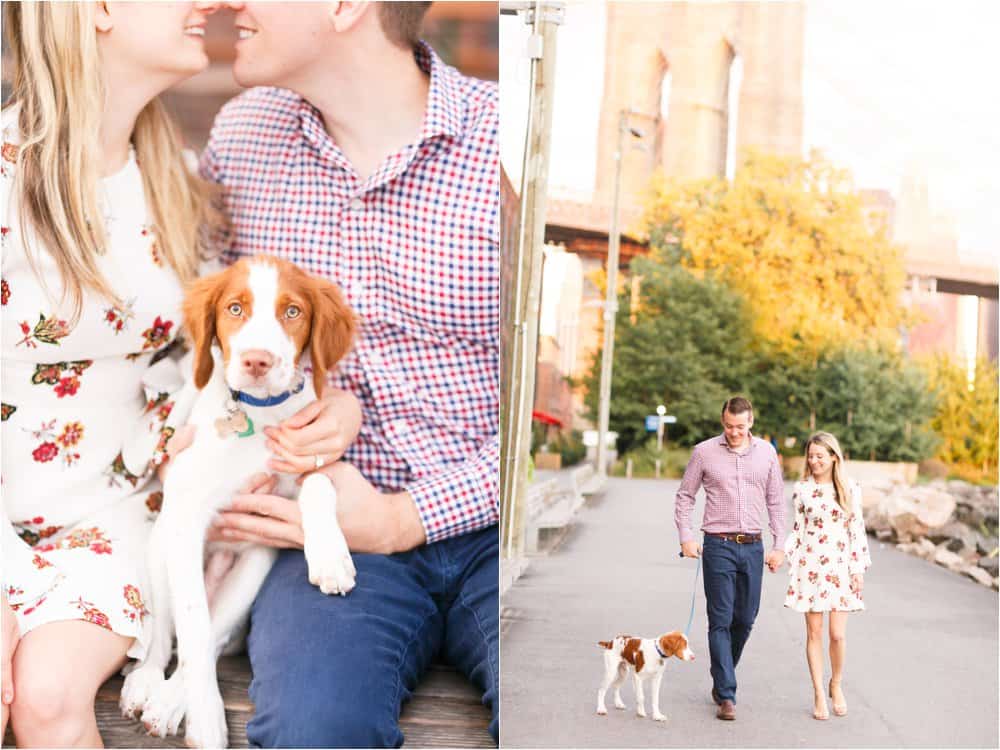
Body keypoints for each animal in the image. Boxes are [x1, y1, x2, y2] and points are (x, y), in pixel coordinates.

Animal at [119, 258, 358, 748]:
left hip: (251, 572)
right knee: (167, 639)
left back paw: (170, 702)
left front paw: (331, 558)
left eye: (292, 311)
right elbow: (191, 627)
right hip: (161, 548)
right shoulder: (186, 515)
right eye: (234, 308)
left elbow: (319, 484)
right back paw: (148, 685)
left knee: (212, 637)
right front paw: (207, 721)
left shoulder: (298, 463)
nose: (257, 361)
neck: (258, 414)